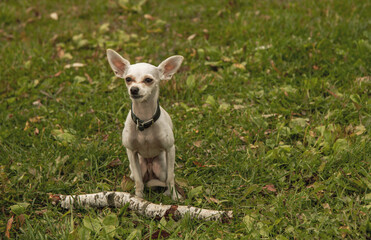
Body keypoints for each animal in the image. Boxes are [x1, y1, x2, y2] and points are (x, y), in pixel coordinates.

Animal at [107, 49, 184, 201]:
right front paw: (138, 198)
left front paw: (174, 196)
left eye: (148, 80)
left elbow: (170, 178)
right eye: (128, 79)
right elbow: (138, 181)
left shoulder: (170, 149)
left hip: (161, 166)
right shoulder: (131, 152)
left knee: (166, 177)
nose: (134, 89)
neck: (144, 121)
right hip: (138, 166)